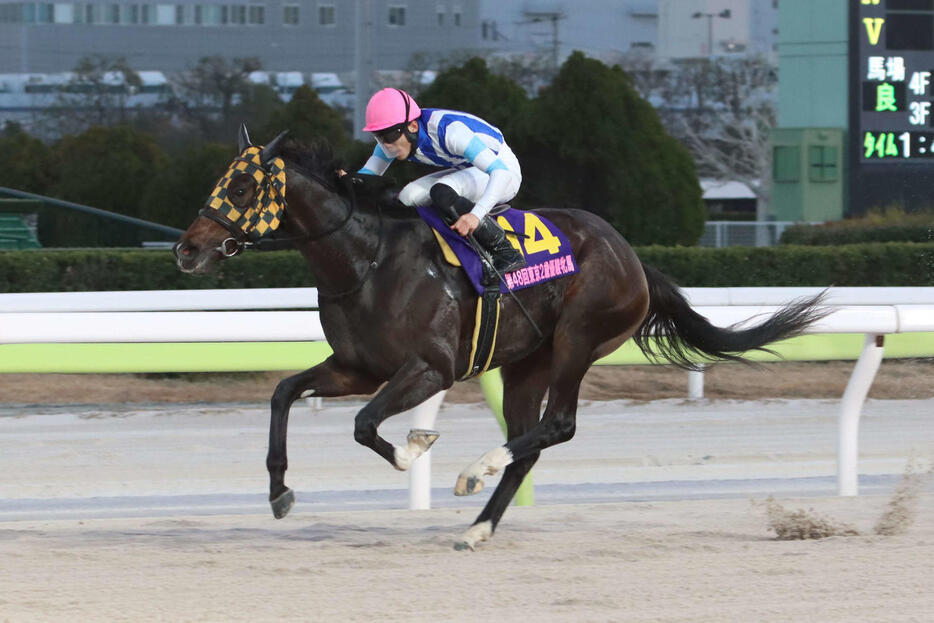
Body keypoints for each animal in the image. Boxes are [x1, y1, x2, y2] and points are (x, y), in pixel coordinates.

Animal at [176, 130, 828, 552]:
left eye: (240, 188)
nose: (187, 249)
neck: (367, 260)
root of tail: (633, 258)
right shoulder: (357, 367)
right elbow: (284, 392)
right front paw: (280, 491)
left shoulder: (430, 368)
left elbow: (365, 425)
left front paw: (414, 448)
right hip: (525, 362)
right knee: (529, 443)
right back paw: (478, 526)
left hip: (577, 341)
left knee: (557, 425)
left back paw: (475, 471)